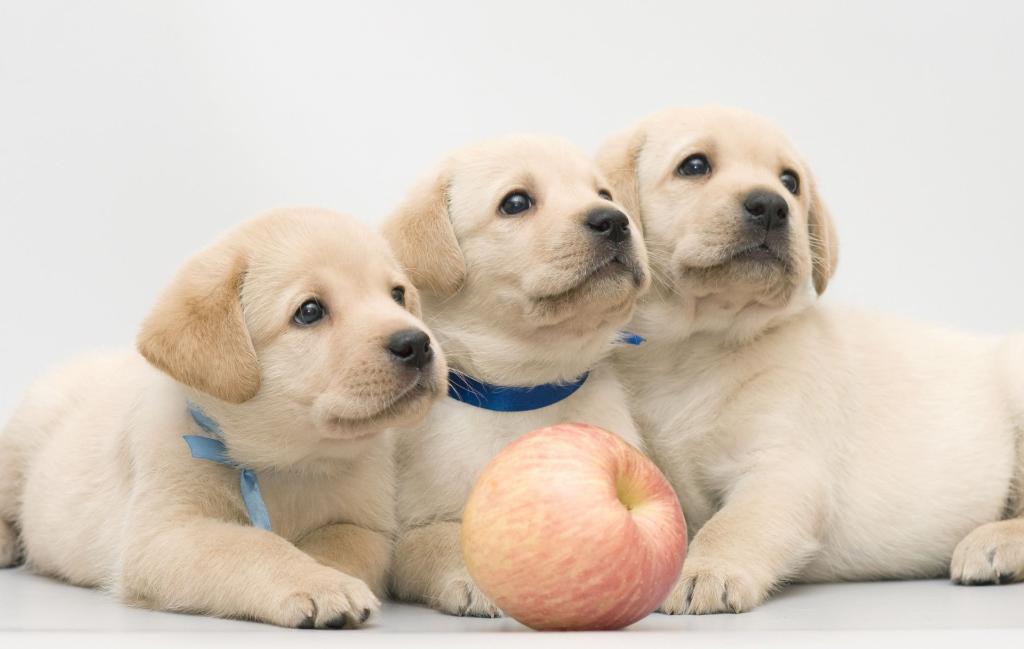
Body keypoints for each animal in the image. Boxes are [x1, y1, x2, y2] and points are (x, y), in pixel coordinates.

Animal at [0, 208, 448, 626]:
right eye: (309, 311)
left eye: (397, 294)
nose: (417, 343)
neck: (286, 462)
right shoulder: (163, 533)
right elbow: (250, 546)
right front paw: (318, 583)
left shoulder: (365, 526)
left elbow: (338, 542)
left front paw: (327, 573)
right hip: (18, 445)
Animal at [380, 135, 651, 618]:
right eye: (516, 203)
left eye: (605, 194)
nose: (615, 220)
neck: (525, 391)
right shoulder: (405, 533)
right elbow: (442, 537)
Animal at [598, 105, 1024, 610]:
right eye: (695, 166)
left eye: (790, 181)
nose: (771, 205)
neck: (692, 345)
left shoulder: (784, 467)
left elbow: (733, 524)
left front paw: (705, 571)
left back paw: (995, 543)